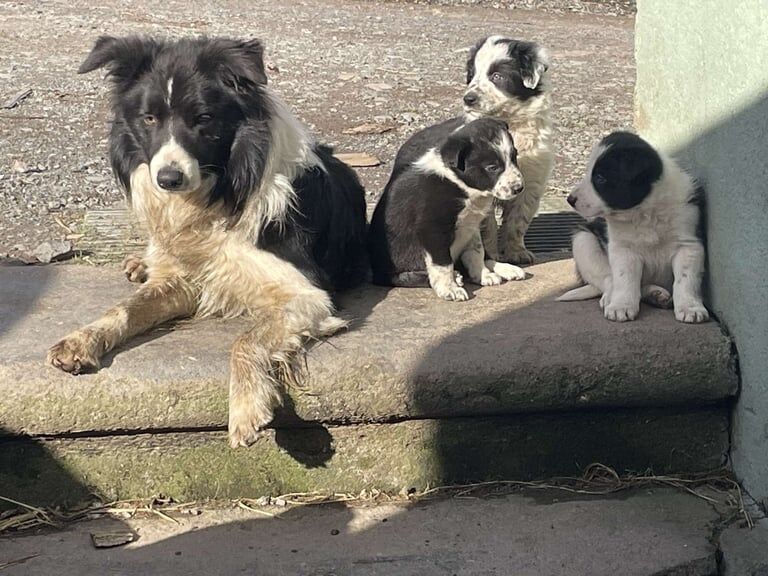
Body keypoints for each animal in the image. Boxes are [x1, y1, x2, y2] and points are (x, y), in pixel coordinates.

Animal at [45, 36, 368, 448]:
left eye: (203, 118)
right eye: (149, 118)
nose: (167, 180)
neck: (215, 196)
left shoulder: (308, 295)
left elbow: (246, 339)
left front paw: (245, 410)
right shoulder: (182, 279)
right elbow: (124, 309)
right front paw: (81, 340)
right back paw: (139, 263)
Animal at [370, 117, 528, 302]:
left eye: (514, 156)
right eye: (492, 167)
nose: (519, 188)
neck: (459, 183)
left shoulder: (471, 224)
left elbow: (477, 251)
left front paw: (482, 275)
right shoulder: (432, 229)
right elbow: (443, 264)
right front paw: (450, 288)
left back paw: (504, 268)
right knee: (406, 277)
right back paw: (454, 277)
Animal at [462, 33, 552, 264]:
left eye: (497, 76)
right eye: (472, 75)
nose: (468, 99)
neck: (508, 121)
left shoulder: (531, 182)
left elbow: (518, 221)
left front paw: (516, 252)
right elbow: (489, 225)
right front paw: (492, 254)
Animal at [556, 133, 712, 326]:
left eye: (600, 178)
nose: (570, 199)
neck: (644, 211)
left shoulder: (688, 245)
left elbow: (685, 279)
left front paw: (690, 308)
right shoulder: (623, 248)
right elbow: (625, 279)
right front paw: (621, 306)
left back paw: (657, 295)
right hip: (583, 241)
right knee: (608, 280)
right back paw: (612, 298)